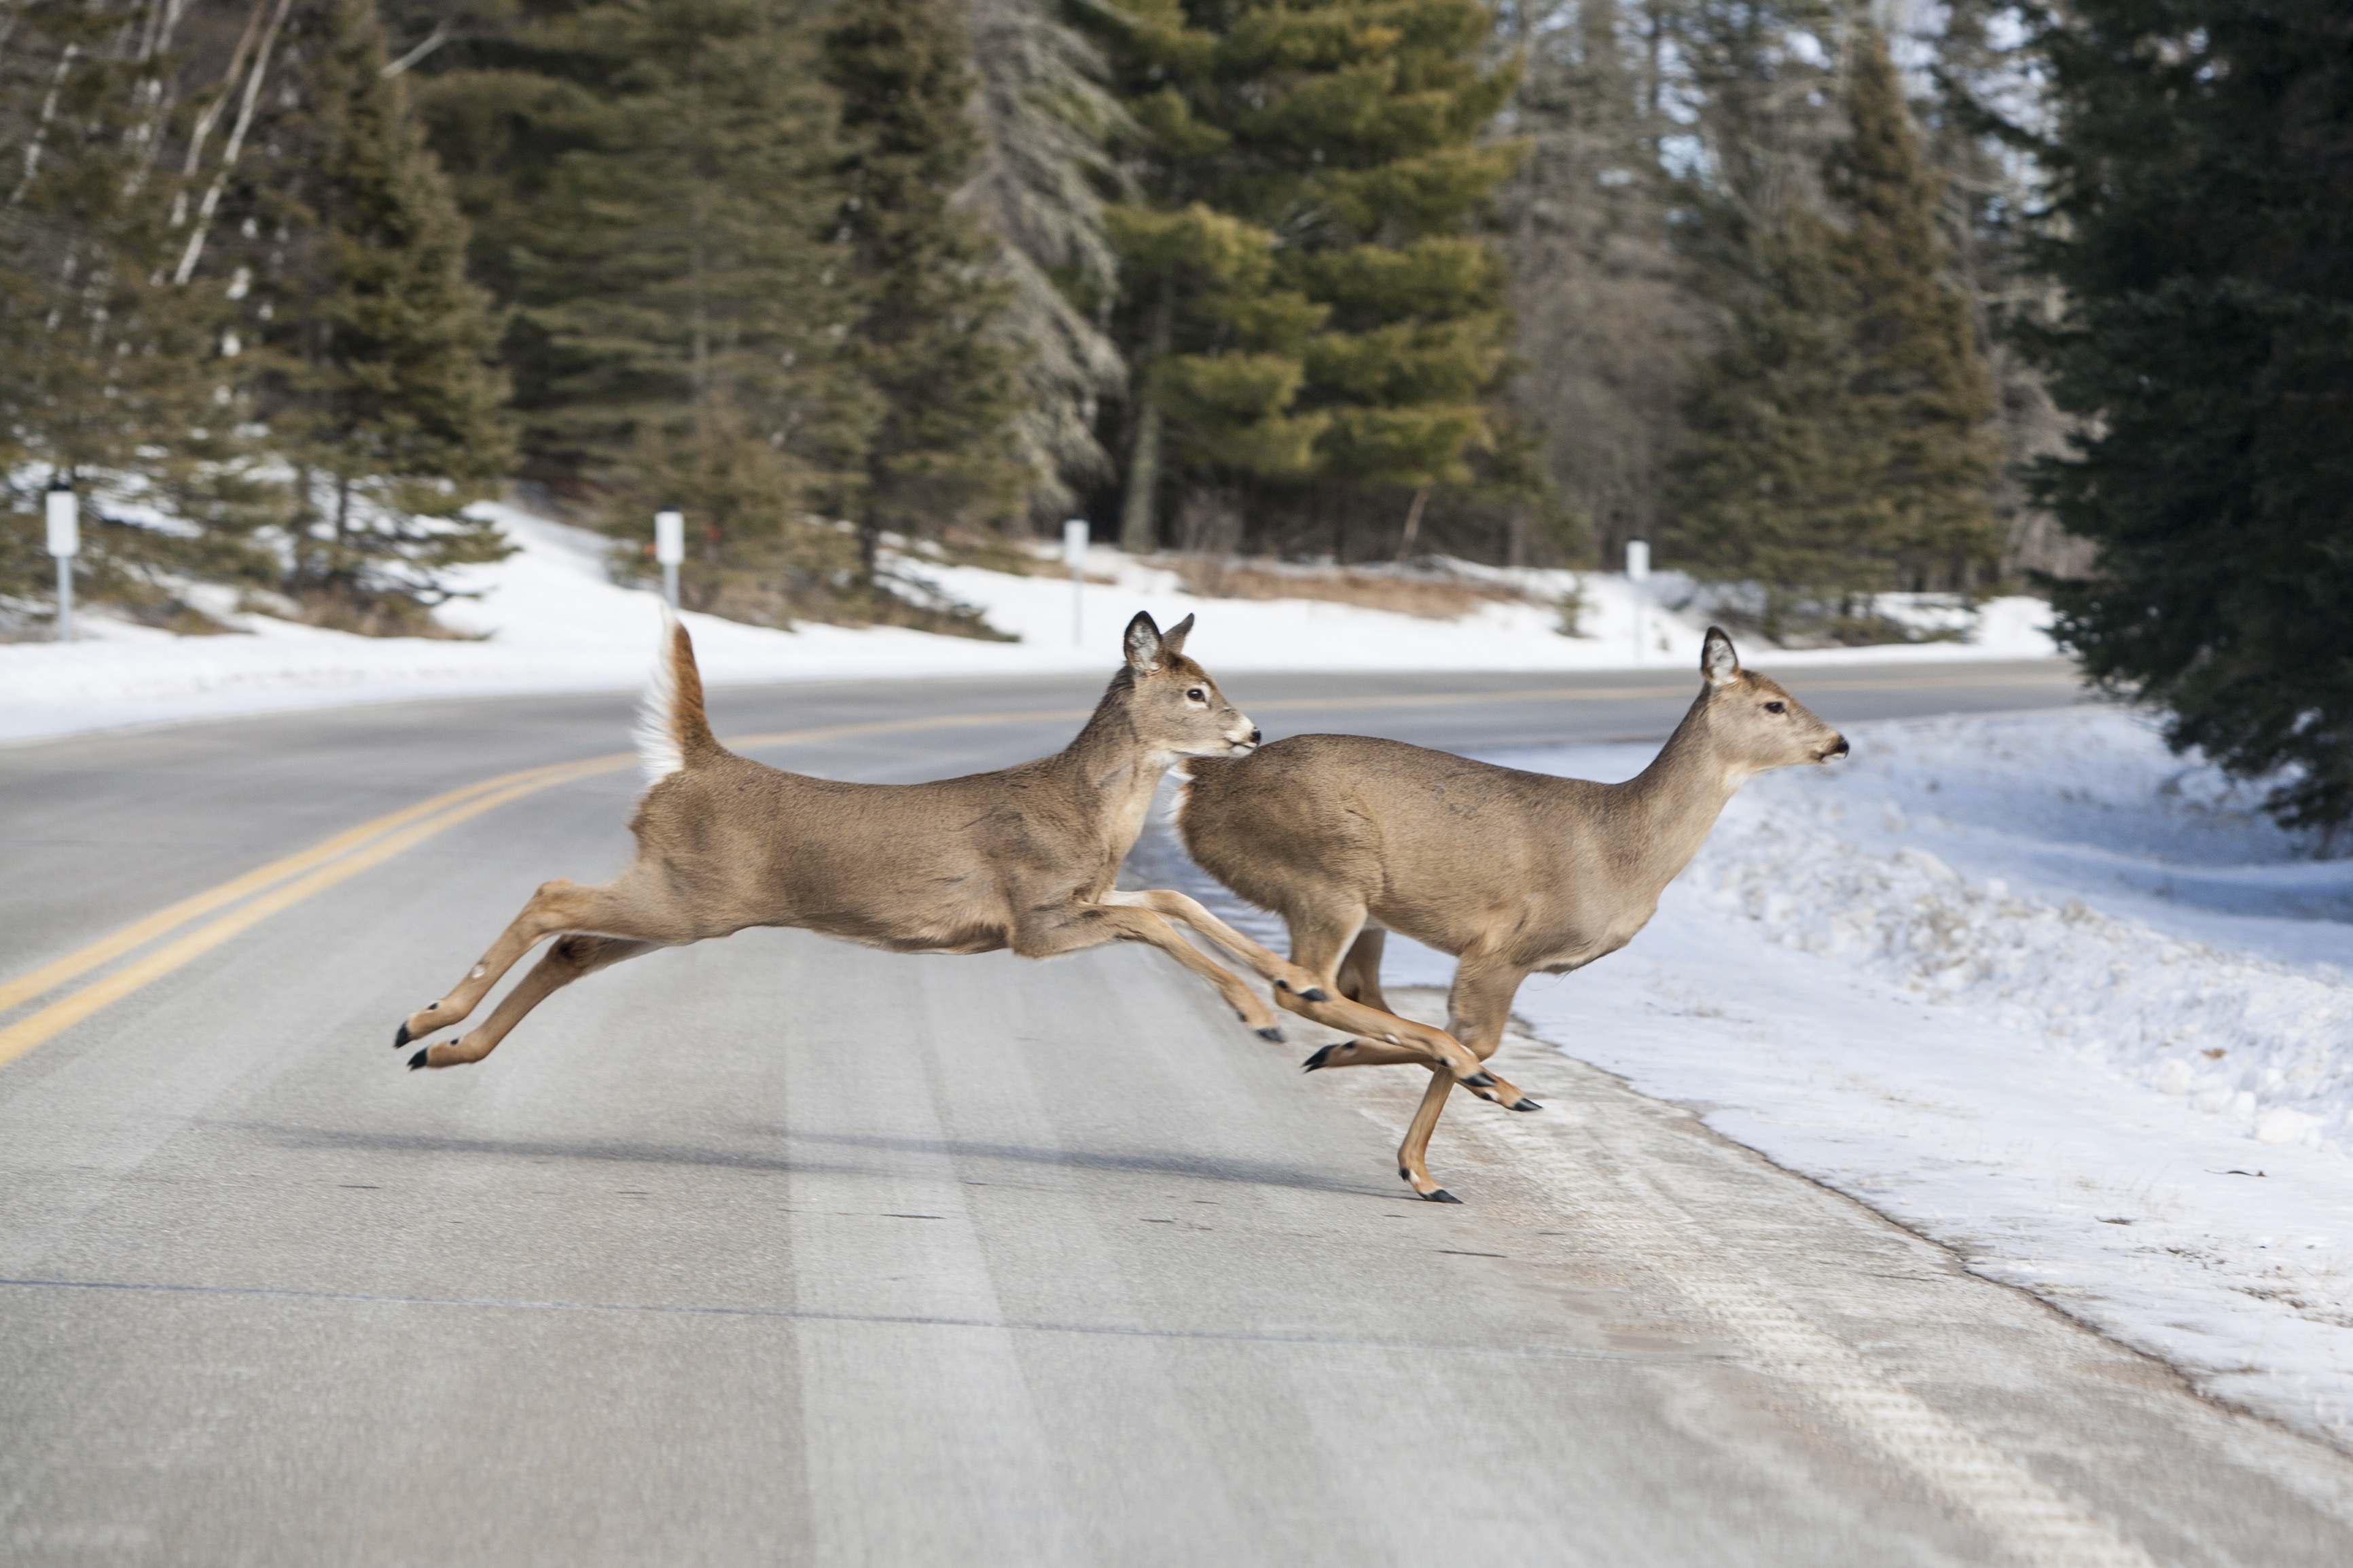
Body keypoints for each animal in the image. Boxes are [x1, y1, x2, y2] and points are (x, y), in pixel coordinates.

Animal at [395, 606, 1543, 1123]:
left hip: (691, 903)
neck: (1084, 811)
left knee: (573, 943)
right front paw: (1261, 1010)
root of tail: (698, 763)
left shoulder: (1079, 898)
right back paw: (422, 1018)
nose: (1255, 733)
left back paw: (444, 1051)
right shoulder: (1033, 921)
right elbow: (1157, 918)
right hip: (688, 894)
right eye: (1197, 690)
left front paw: (1293, 995)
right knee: (552, 894)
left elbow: (1172, 898)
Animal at [1185, 625, 1844, 1203]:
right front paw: (1426, 1161)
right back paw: (1485, 1089)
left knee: (1352, 989)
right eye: (1774, 704)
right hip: (1329, 877)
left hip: (1367, 910)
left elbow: (1467, 1035)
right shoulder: (1501, 950)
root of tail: (1200, 788)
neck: (1622, 850)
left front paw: (1420, 1160)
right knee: (1305, 985)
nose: (1839, 742)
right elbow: (1482, 1037)